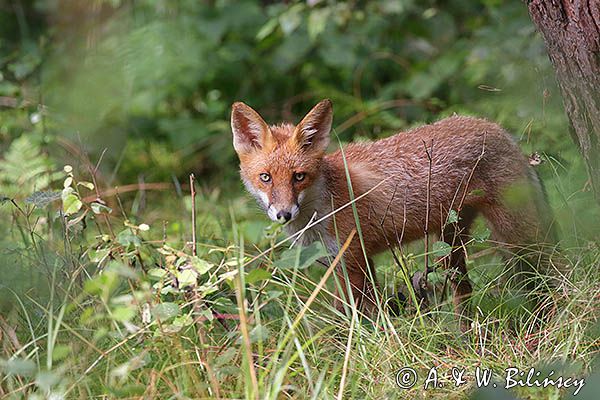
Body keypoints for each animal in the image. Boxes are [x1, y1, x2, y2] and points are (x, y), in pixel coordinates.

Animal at [230, 99, 552, 318]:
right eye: (266, 178)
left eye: (299, 177)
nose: (283, 214)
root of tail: (497, 128)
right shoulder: (345, 265)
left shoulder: (354, 262)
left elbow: (354, 320)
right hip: (450, 242)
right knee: (464, 290)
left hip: (518, 236)